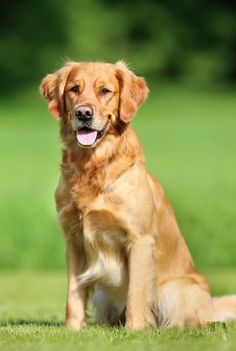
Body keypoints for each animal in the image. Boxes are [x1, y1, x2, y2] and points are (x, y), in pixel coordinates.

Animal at [39, 61, 236, 330]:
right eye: (74, 89)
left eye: (105, 91)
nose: (83, 113)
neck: (93, 167)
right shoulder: (74, 240)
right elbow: (74, 292)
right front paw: (73, 328)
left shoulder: (139, 239)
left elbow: (136, 293)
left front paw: (135, 329)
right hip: (103, 294)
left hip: (177, 291)